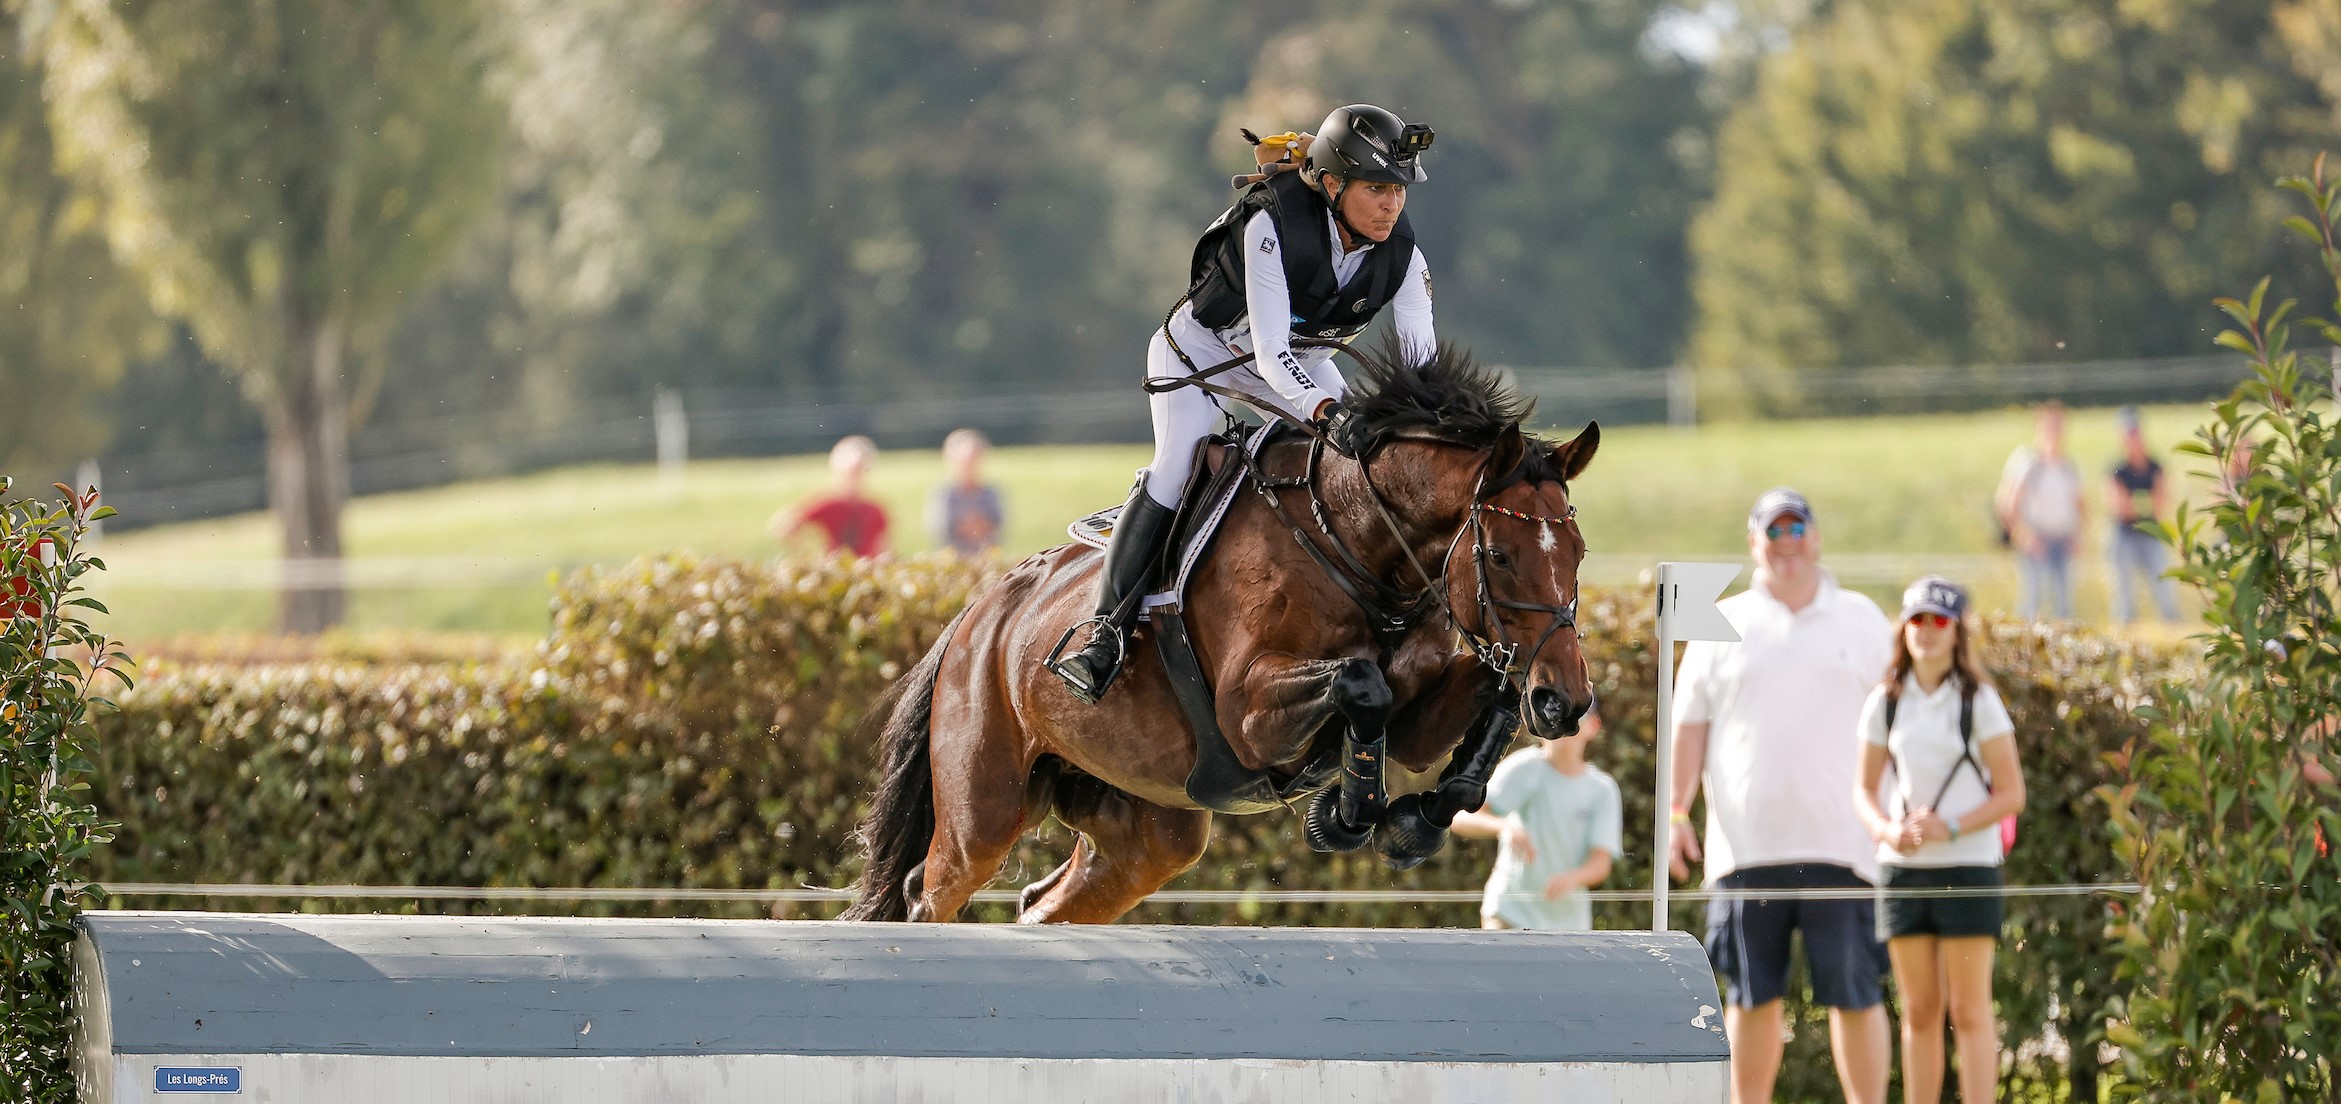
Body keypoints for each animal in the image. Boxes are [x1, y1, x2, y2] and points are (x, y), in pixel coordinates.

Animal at [852, 343, 1601, 921]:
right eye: (1498, 555)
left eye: (1578, 551)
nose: (1563, 703)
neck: (1352, 544)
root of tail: (977, 614)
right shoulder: (1249, 717)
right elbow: (1362, 684)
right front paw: (1347, 814)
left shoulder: (1419, 723)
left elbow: (1481, 705)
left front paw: (1414, 822)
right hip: (983, 809)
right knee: (930, 890)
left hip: (1147, 834)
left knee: (1048, 901)